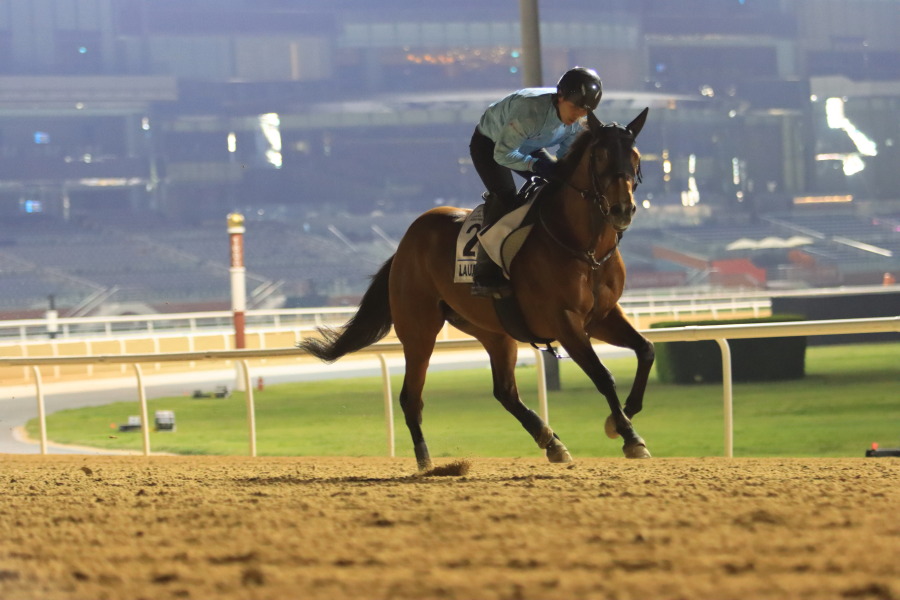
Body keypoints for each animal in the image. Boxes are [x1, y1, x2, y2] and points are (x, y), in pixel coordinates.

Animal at [302, 109, 652, 474]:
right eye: (600, 156)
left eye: (635, 155)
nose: (622, 209)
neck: (584, 248)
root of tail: (404, 245)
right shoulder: (565, 321)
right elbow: (603, 375)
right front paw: (629, 435)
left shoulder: (602, 316)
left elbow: (646, 350)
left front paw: (622, 418)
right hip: (419, 330)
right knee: (411, 397)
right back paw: (426, 461)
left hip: (493, 331)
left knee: (505, 392)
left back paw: (551, 441)